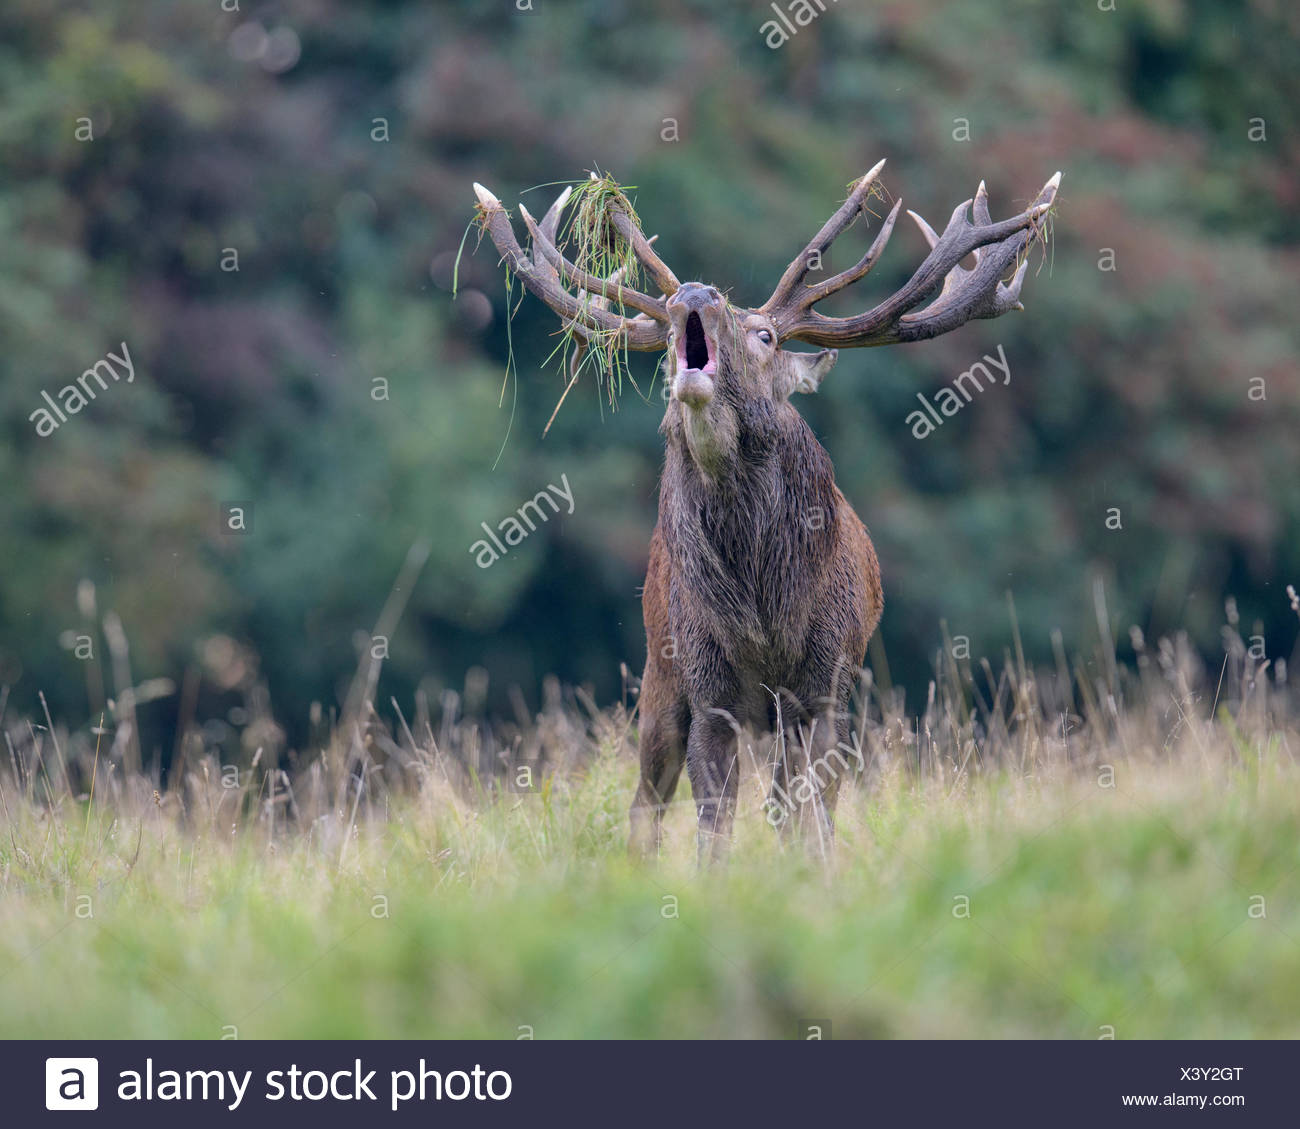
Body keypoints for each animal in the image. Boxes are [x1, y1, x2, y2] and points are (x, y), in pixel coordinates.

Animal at [470, 159, 1060, 861]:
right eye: (666, 336)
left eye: (766, 336)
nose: (696, 292)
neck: (764, 608)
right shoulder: (709, 686)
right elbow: (713, 820)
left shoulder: (825, 684)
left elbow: (814, 810)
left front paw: (820, 870)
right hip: (658, 670)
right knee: (647, 800)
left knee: (781, 799)